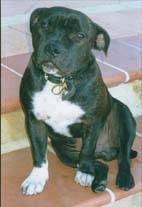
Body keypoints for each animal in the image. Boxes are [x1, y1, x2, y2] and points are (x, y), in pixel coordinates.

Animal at [20, 5, 136, 195]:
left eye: (80, 36)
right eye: (44, 25)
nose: (53, 47)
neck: (61, 80)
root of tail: (106, 151)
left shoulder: (92, 122)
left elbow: (88, 148)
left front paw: (85, 171)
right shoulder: (34, 120)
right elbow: (38, 152)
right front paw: (36, 178)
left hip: (126, 119)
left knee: (123, 156)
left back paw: (123, 178)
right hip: (66, 153)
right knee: (101, 164)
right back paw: (99, 182)